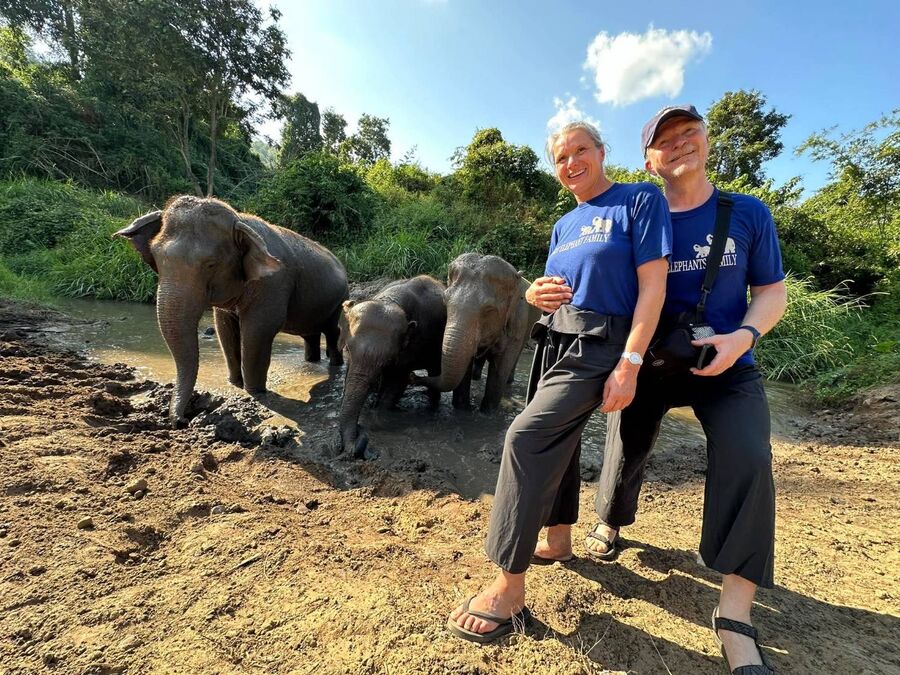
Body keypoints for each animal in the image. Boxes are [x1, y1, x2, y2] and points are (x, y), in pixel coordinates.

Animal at [115, 195, 348, 426]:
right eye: (156, 258)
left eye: (211, 265)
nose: (182, 420)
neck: (240, 219)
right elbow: (224, 329)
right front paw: (235, 383)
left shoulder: (273, 284)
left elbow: (257, 331)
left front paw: (254, 392)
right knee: (310, 335)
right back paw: (312, 363)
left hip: (340, 300)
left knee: (332, 331)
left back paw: (335, 365)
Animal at [338, 275, 447, 458]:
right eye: (347, 349)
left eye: (387, 359)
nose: (361, 430)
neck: (390, 300)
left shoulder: (412, 346)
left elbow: (398, 380)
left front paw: (377, 419)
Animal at [418, 253, 539, 412]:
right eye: (445, 300)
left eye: (488, 309)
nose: (413, 377)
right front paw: (462, 409)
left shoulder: (517, 324)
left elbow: (500, 368)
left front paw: (487, 412)